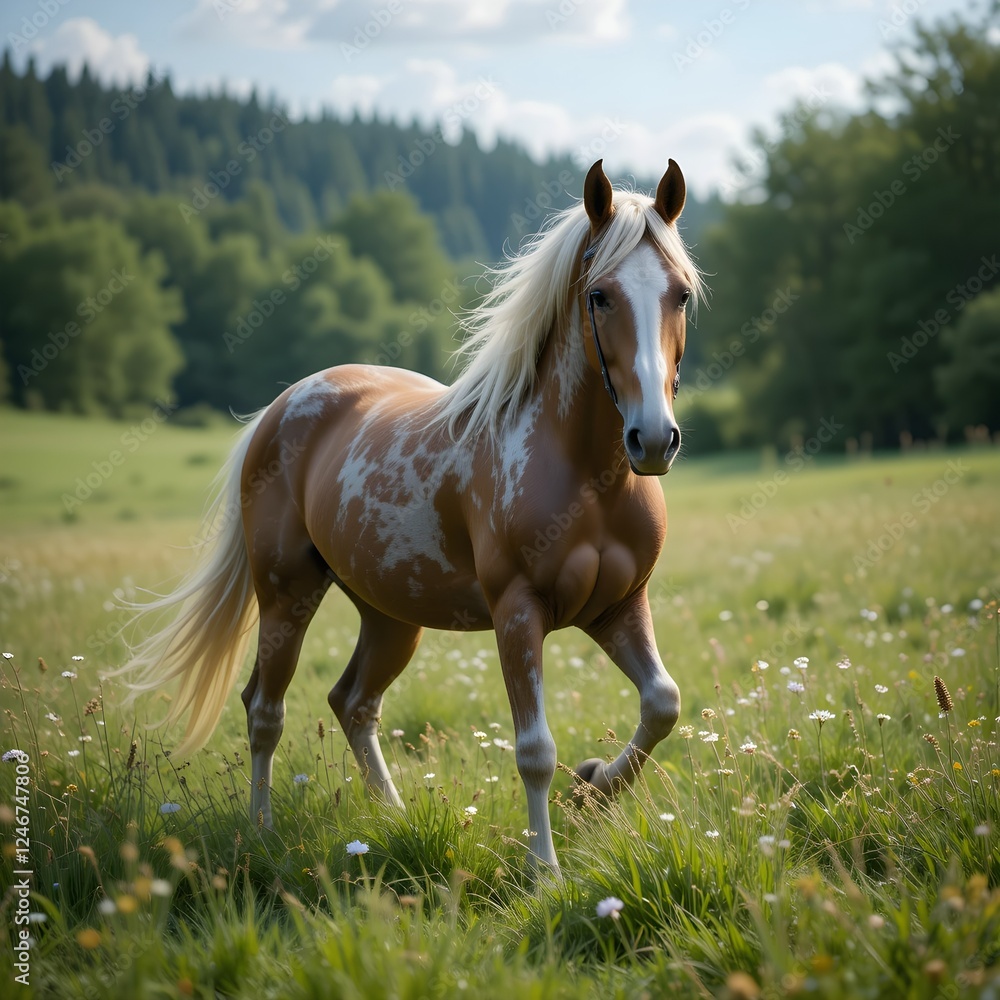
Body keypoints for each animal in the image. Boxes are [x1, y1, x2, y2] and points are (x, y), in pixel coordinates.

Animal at [124, 158, 704, 872]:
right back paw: (261, 833)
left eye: (680, 294)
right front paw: (544, 871)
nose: (653, 439)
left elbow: (662, 704)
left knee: (352, 703)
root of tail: (281, 408)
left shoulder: (618, 606)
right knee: (266, 709)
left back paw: (392, 816)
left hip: (390, 616)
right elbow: (535, 751)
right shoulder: (519, 613)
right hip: (286, 593)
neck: (585, 474)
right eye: (599, 296)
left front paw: (593, 789)